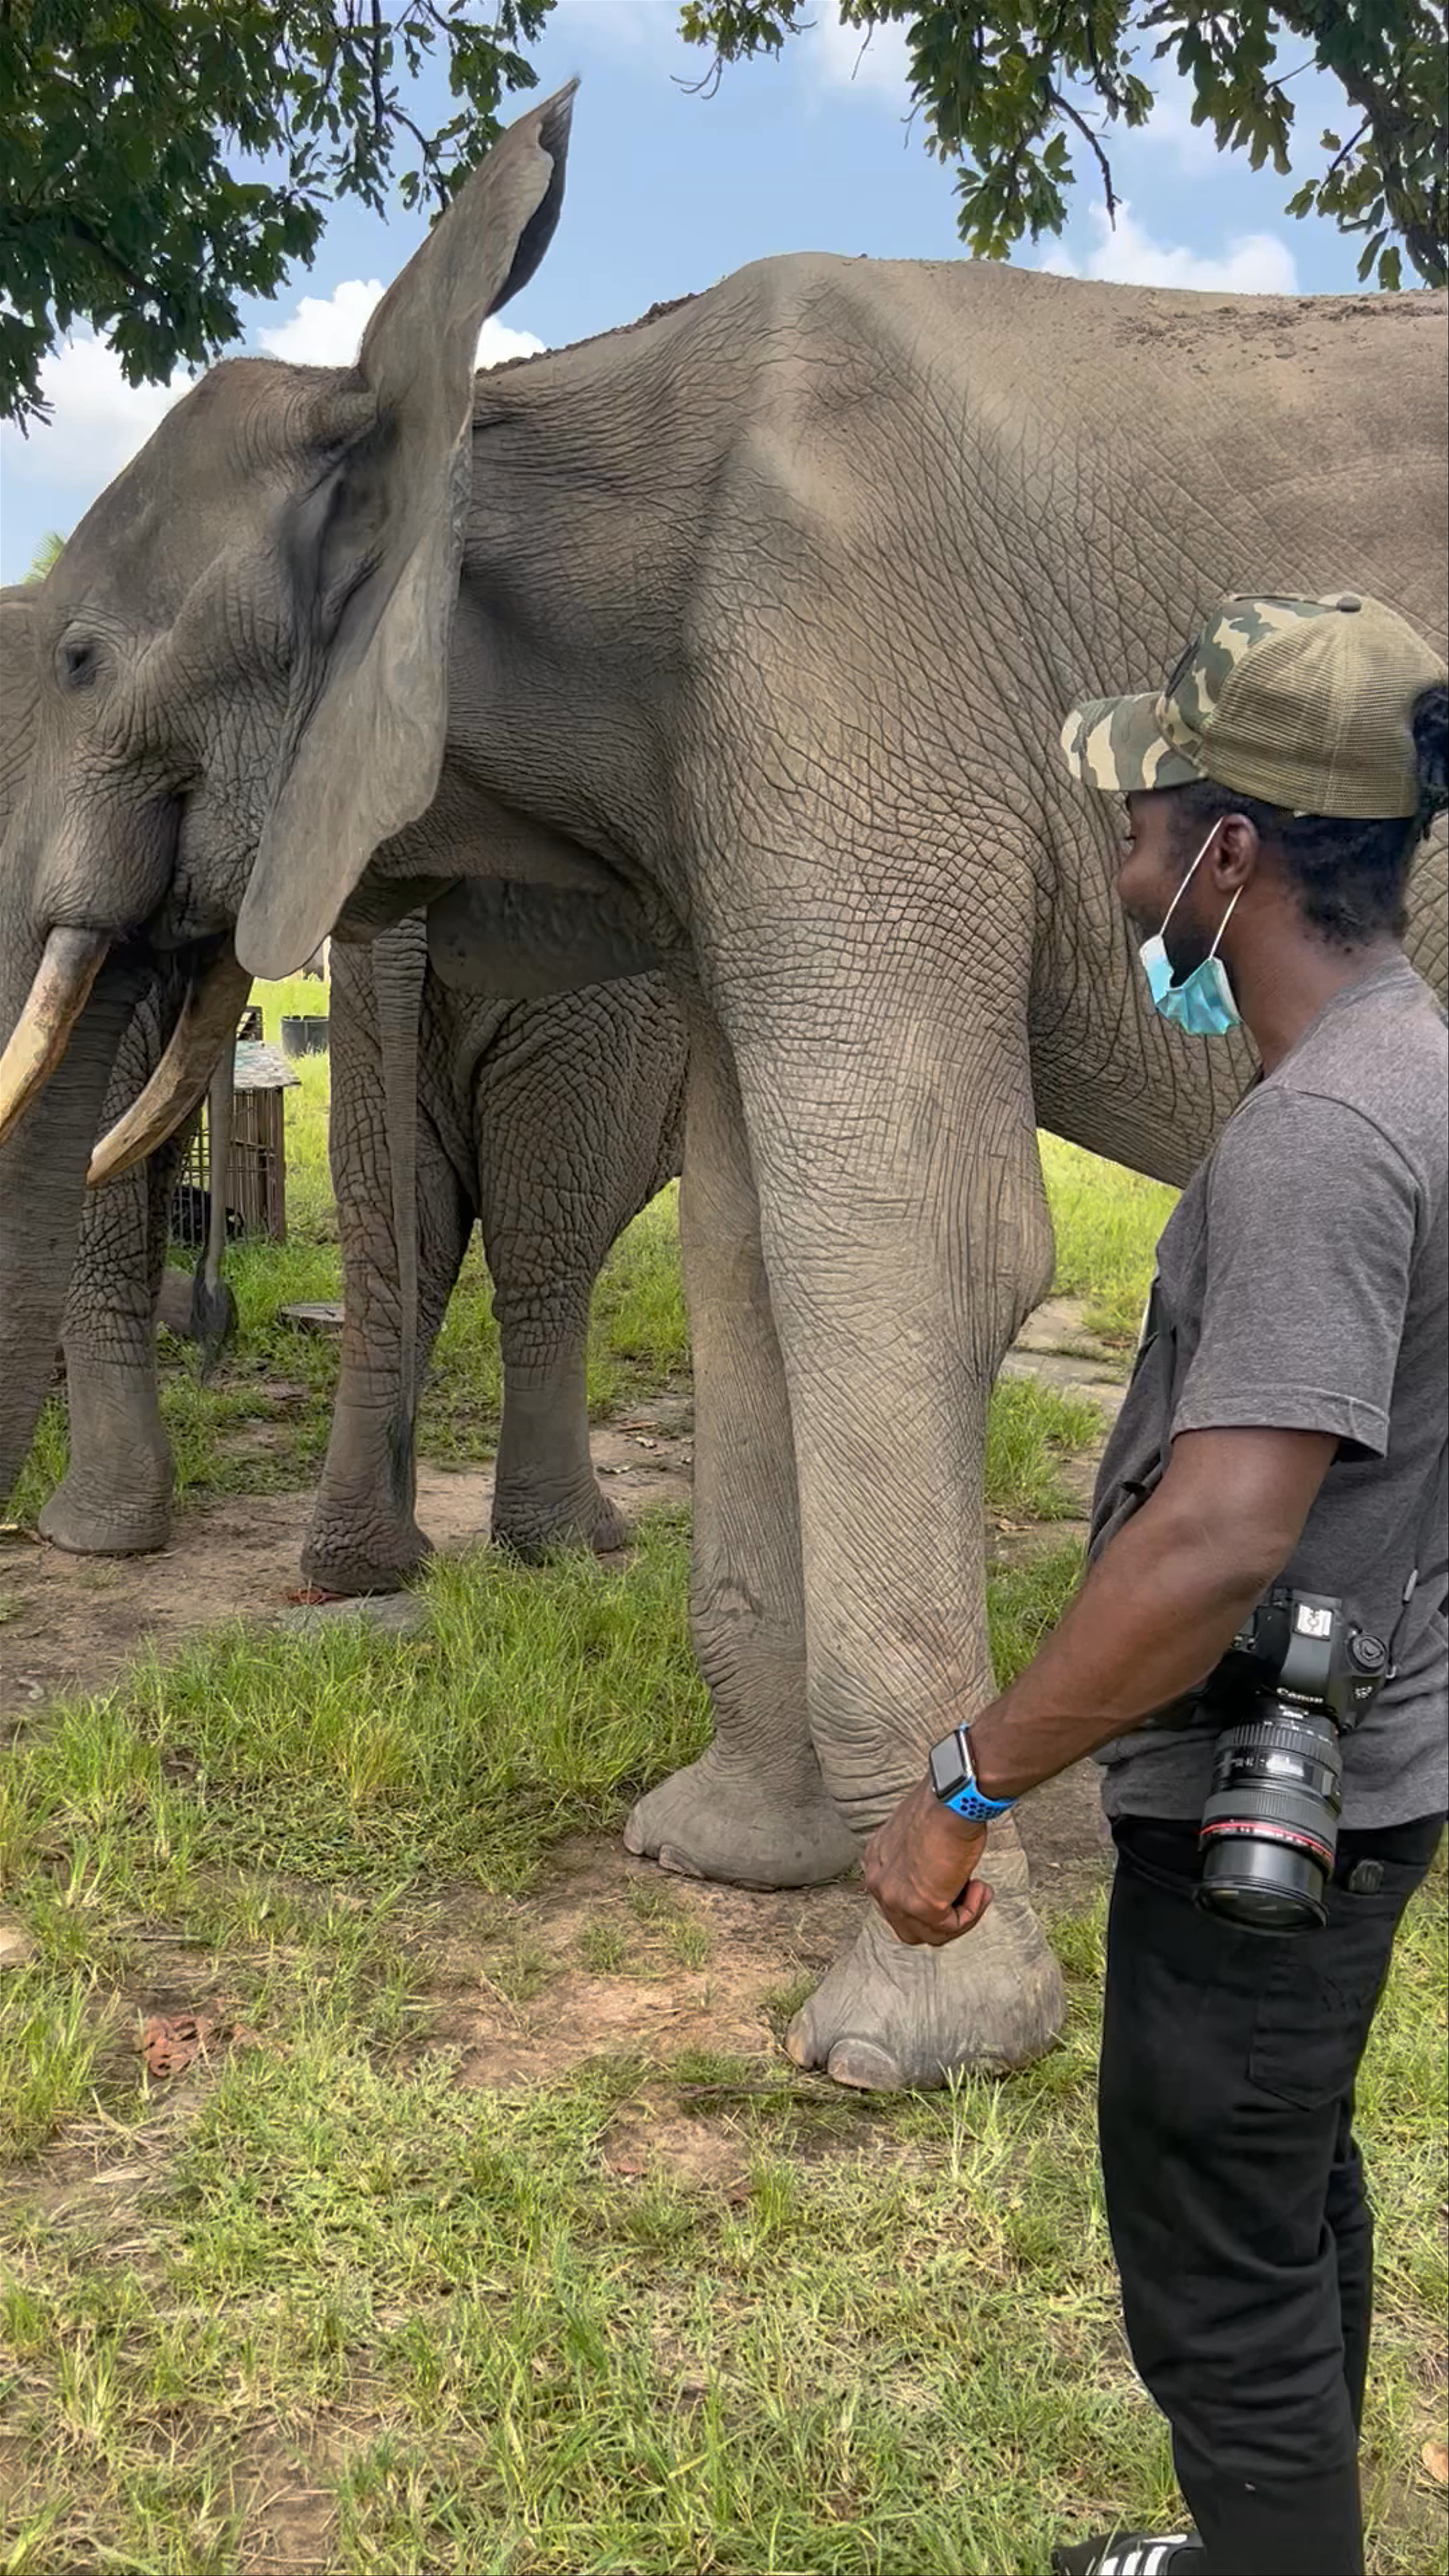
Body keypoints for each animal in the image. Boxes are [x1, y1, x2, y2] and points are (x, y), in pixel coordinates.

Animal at [1, 89, 1444, 2089]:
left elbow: (899, 1245)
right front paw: (721, 1849)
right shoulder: (724, 781)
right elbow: (748, 1246)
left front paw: (907, 2028)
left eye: (79, 657)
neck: (501, 402)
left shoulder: (850, 686)